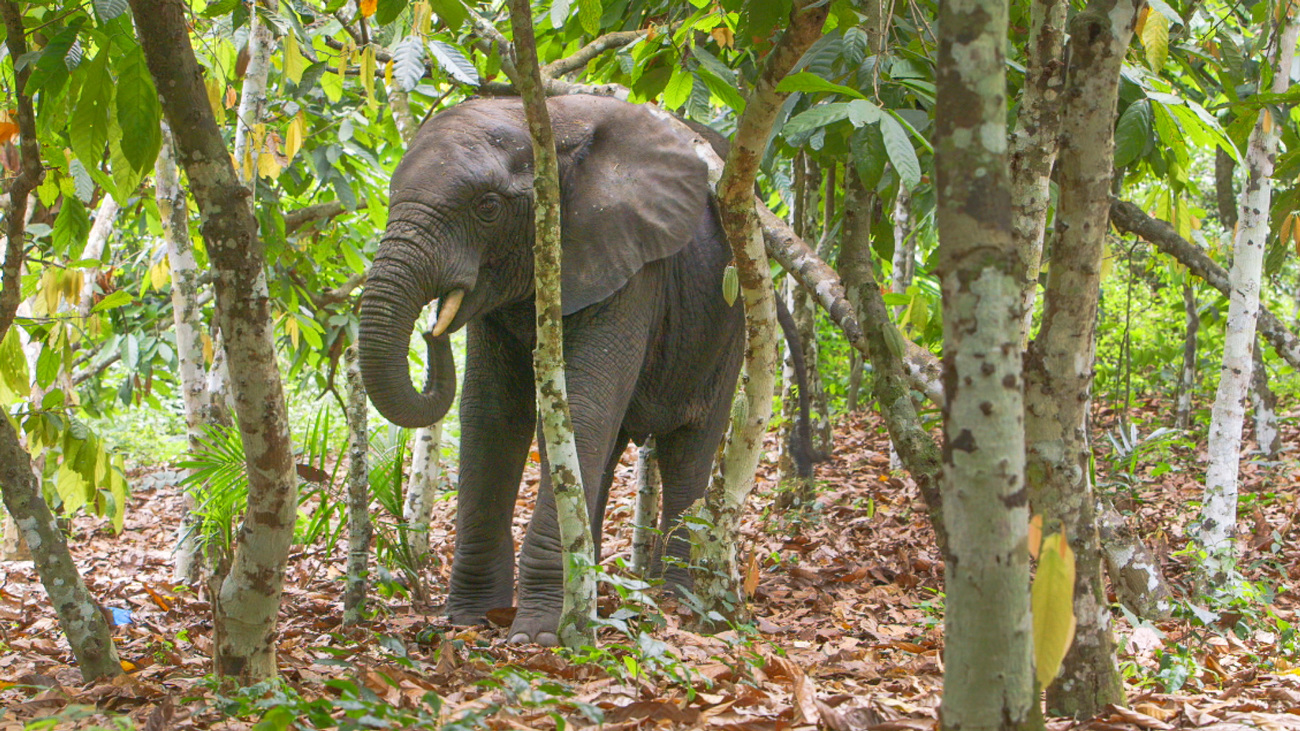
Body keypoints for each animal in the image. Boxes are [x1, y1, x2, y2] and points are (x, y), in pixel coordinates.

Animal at [361, 95, 764, 642]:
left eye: (488, 208)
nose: (431, 332)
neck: (549, 125)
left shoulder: (629, 263)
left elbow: (579, 407)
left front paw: (536, 635)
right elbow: (491, 414)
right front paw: (470, 620)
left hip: (730, 322)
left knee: (689, 448)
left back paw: (680, 602)